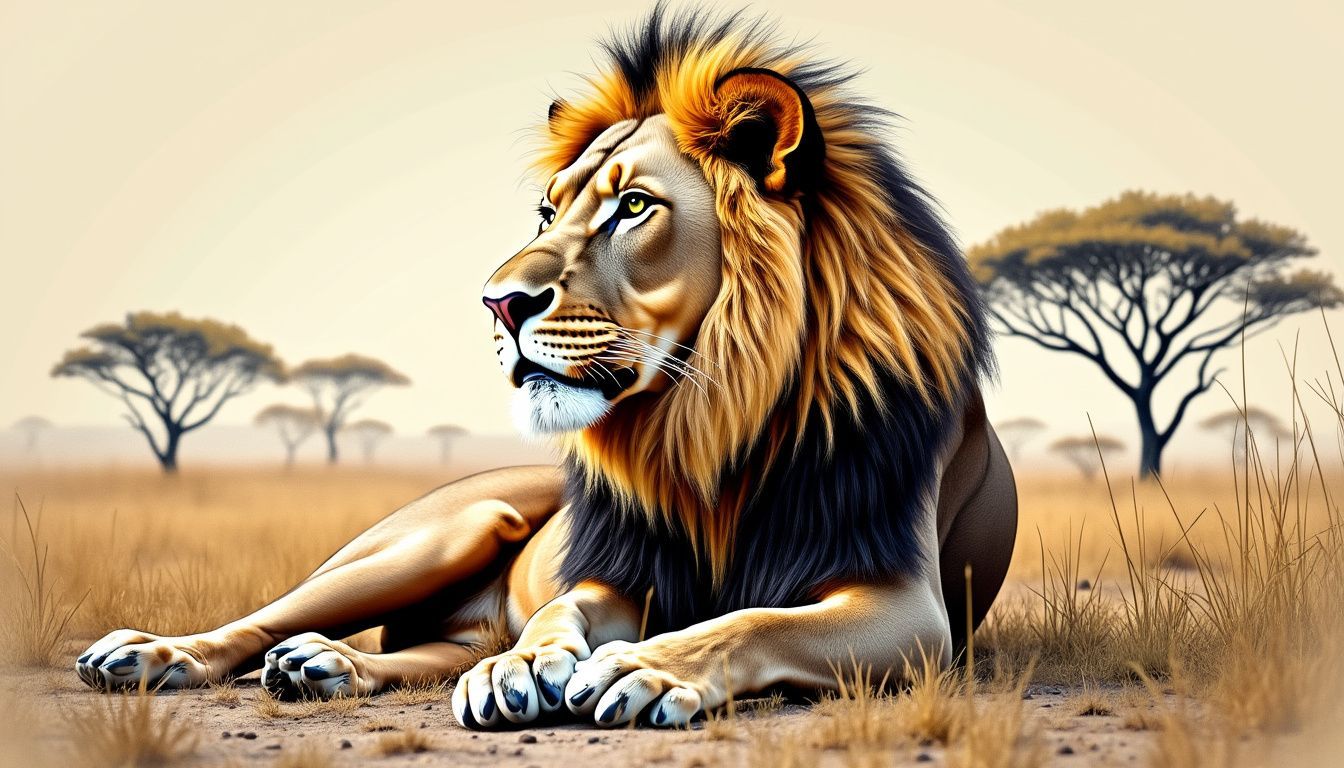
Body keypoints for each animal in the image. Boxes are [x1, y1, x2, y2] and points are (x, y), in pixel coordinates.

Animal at [74, 7, 1017, 729]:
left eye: (633, 206)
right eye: (547, 210)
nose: (497, 303)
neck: (710, 420)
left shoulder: (910, 610)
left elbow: (753, 620)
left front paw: (646, 669)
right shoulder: (619, 570)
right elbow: (564, 605)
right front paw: (525, 669)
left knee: (413, 650)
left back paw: (322, 668)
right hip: (427, 537)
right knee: (263, 621)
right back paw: (153, 654)